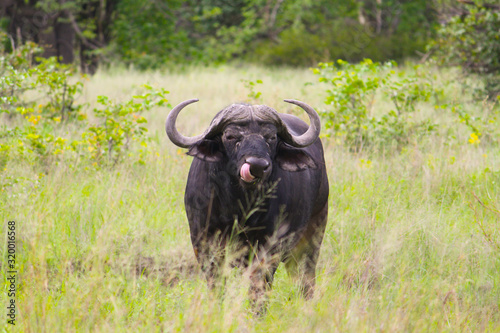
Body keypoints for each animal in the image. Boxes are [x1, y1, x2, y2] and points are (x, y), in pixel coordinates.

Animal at [164, 97, 328, 302]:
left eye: (271, 137)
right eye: (230, 136)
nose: (257, 166)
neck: (237, 207)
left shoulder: (269, 247)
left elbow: (258, 286)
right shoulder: (202, 241)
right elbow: (216, 283)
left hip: (313, 235)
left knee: (306, 279)